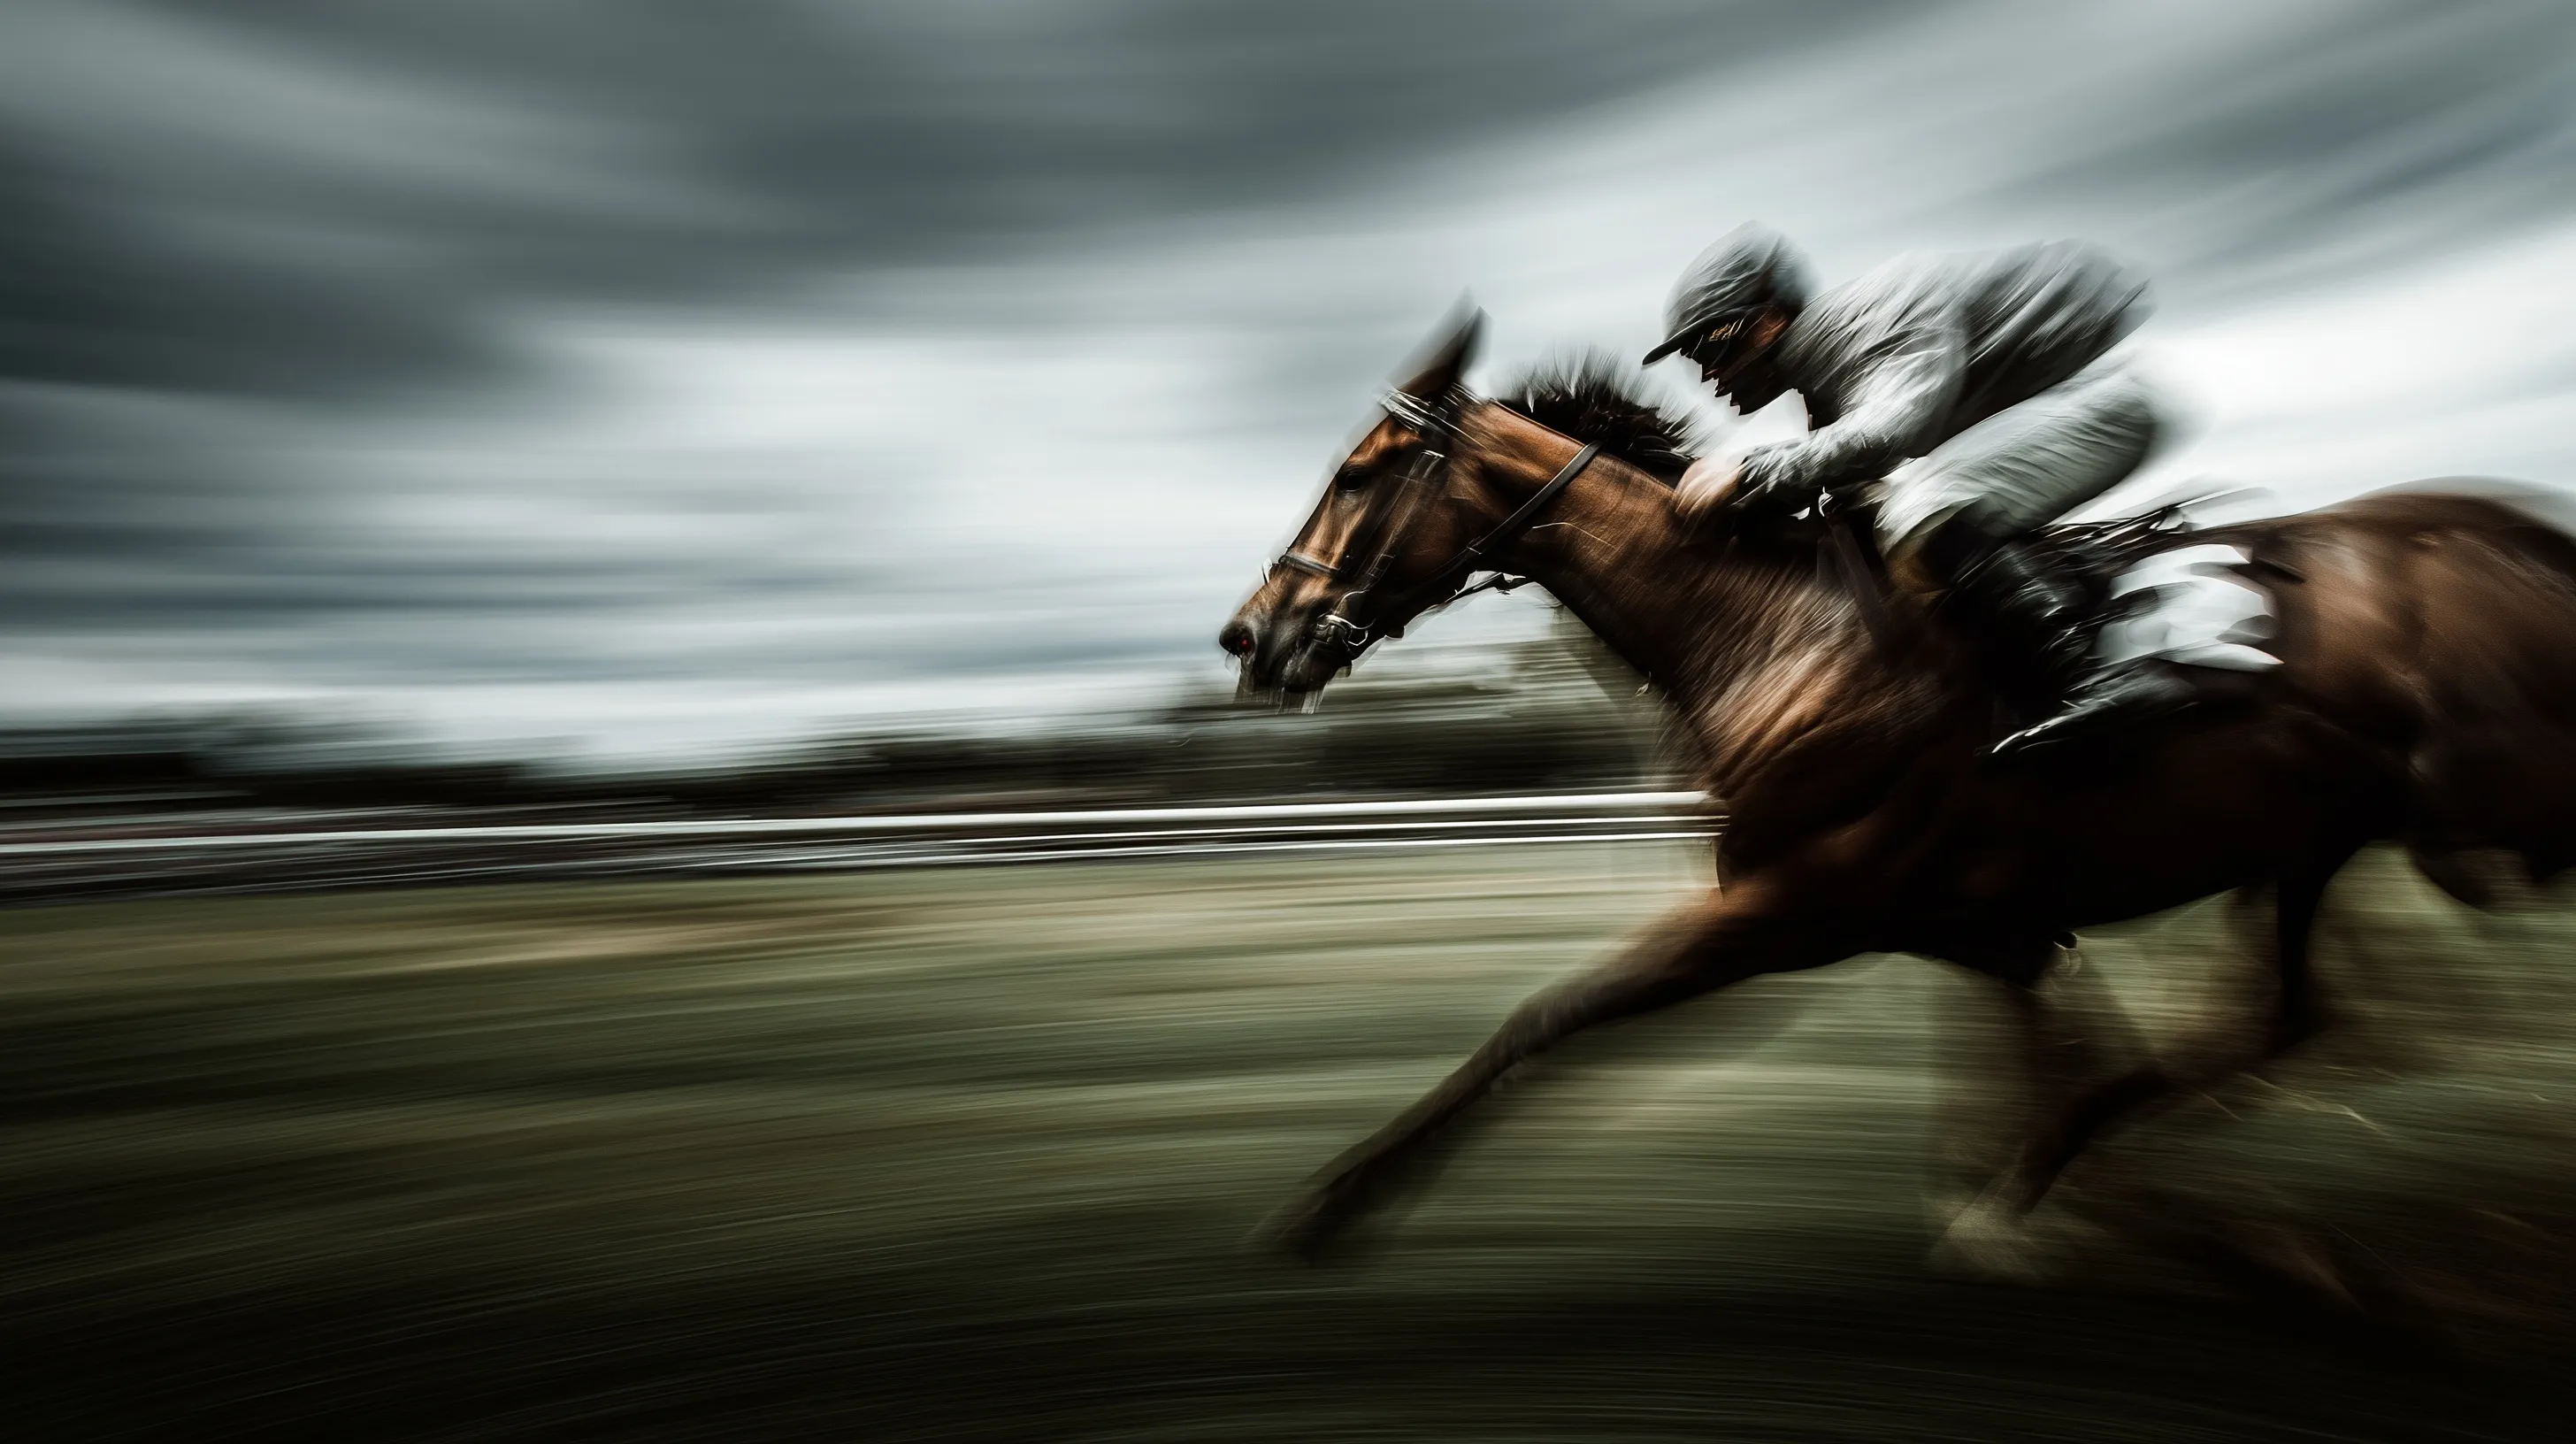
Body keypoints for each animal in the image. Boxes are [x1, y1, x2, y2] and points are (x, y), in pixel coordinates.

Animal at [1218, 310, 2576, 1263]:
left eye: (1365, 468)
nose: (1253, 635)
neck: (1772, 635)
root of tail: (2516, 532)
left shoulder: (1783, 907)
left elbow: (1544, 1019)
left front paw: (1335, 1201)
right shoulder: (1981, 926)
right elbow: (2063, 1059)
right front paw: (2037, 1189)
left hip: (2484, 809)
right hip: (2314, 837)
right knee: (2287, 1018)